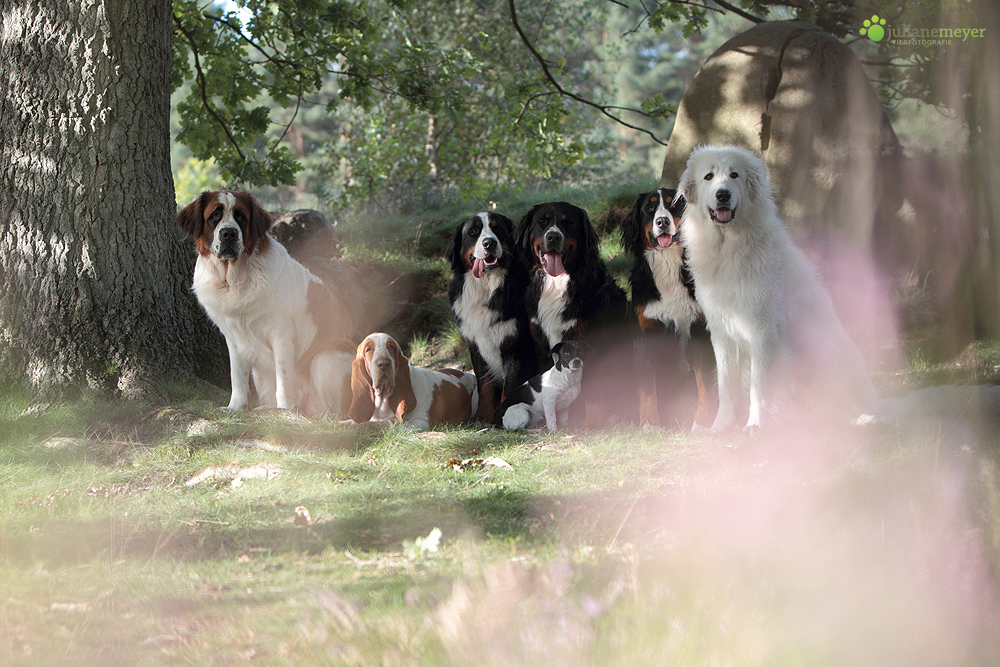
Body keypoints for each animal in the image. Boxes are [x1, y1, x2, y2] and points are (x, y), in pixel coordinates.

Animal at [179, 190, 356, 414]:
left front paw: (284, 410)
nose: (229, 233)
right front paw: (235, 407)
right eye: (214, 217)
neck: (233, 280)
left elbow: (284, 377)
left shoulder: (281, 334)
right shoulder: (233, 337)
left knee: (334, 411)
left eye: (241, 217)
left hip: (326, 357)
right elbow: (236, 375)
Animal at [446, 211, 540, 426]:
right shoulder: (476, 346)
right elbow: (485, 386)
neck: (487, 288)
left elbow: (510, 386)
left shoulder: (515, 346)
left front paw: (501, 417)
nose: (489, 243)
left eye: (498, 229)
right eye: (473, 231)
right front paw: (482, 417)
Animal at [620, 187, 716, 428]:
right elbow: (647, 387)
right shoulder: (646, 332)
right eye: (649, 208)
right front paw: (649, 423)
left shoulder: (699, 329)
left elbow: (704, 384)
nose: (662, 221)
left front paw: (702, 422)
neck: (668, 264)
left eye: (675, 206)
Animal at [680, 145, 876, 434]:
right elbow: (727, 387)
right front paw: (720, 428)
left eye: (734, 175)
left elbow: (759, 385)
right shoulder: (722, 332)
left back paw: (857, 419)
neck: (729, 247)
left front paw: (756, 426)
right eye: (709, 176)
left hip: (823, 349)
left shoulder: (763, 329)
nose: (723, 194)